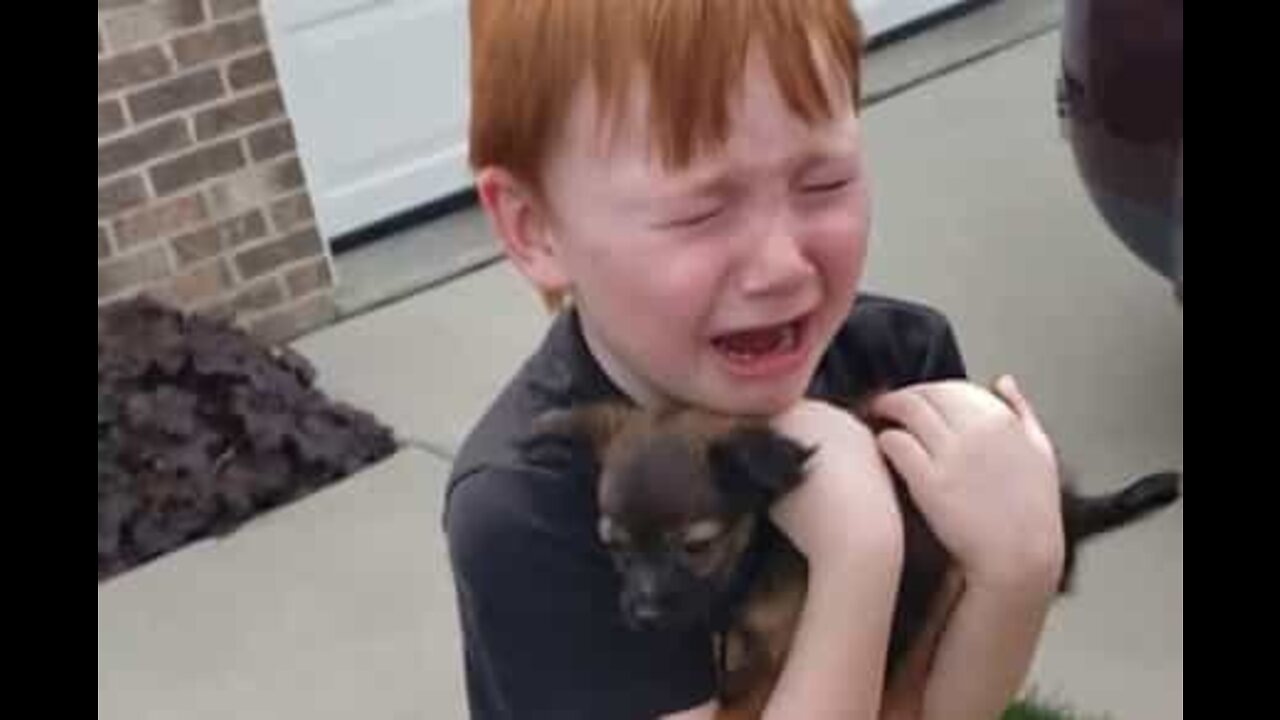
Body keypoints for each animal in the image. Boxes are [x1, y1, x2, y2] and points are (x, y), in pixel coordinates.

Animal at [519, 397, 1177, 712]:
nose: (644, 616)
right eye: (614, 547)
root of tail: (1064, 501)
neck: (757, 554)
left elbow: (740, 698)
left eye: (696, 546)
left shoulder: (784, 645)